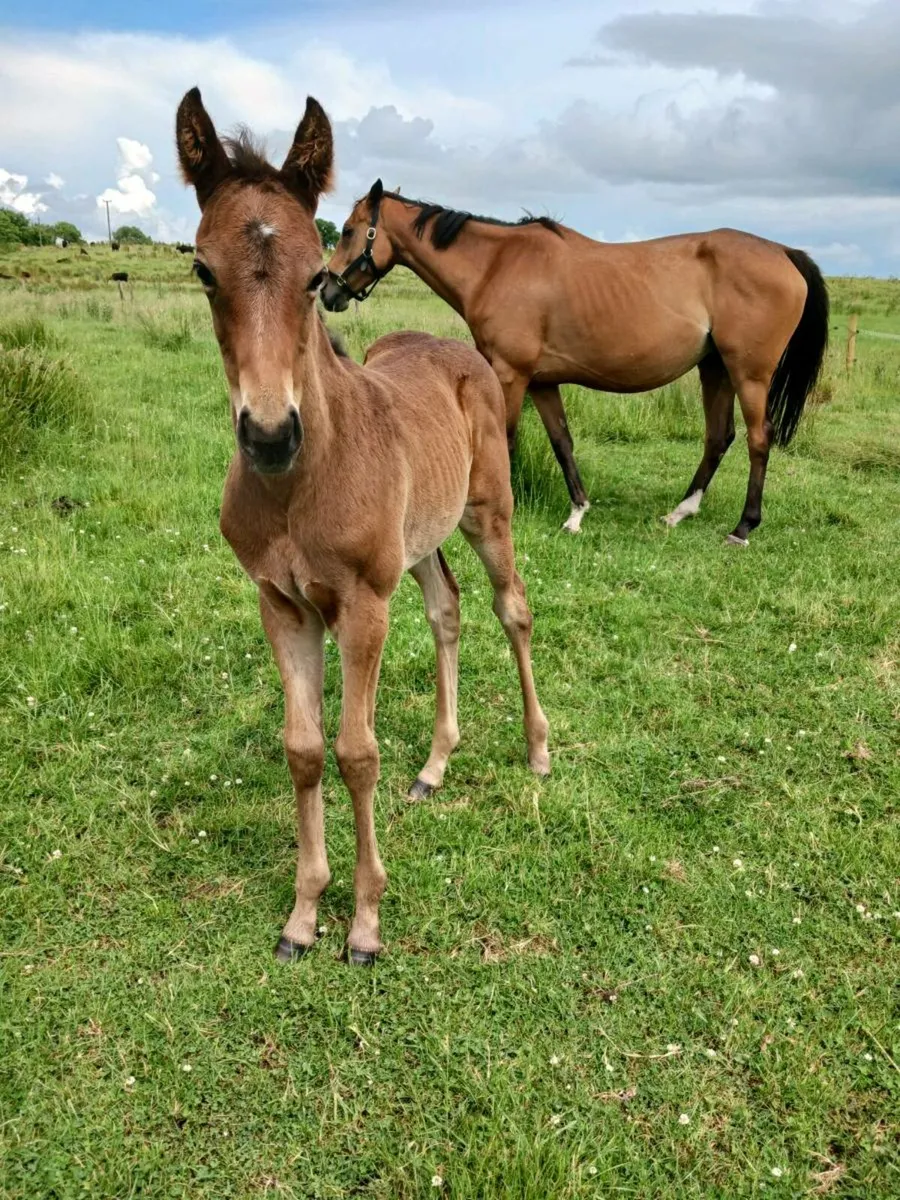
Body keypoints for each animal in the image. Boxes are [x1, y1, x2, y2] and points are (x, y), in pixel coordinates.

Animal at [175, 89, 550, 965]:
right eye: (203, 270)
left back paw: (538, 747)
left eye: (316, 274)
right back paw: (437, 765)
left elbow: (356, 753)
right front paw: (303, 915)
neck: (297, 488)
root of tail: (457, 347)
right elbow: (306, 750)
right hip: (420, 542)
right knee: (447, 609)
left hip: (487, 515)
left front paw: (367, 921)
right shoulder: (283, 604)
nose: (269, 435)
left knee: (511, 608)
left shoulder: (363, 604)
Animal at [322, 183, 829, 544]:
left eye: (347, 230)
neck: (496, 264)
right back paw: (680, 512)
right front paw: (577, 514)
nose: (327, 290)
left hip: (750, 375)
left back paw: (743, 528)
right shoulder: (541, 382)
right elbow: (562, 442)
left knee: (758, 440)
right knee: (718, 437)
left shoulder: (510, 374)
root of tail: (783, 252)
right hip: (715, 369)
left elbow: (507, 440)